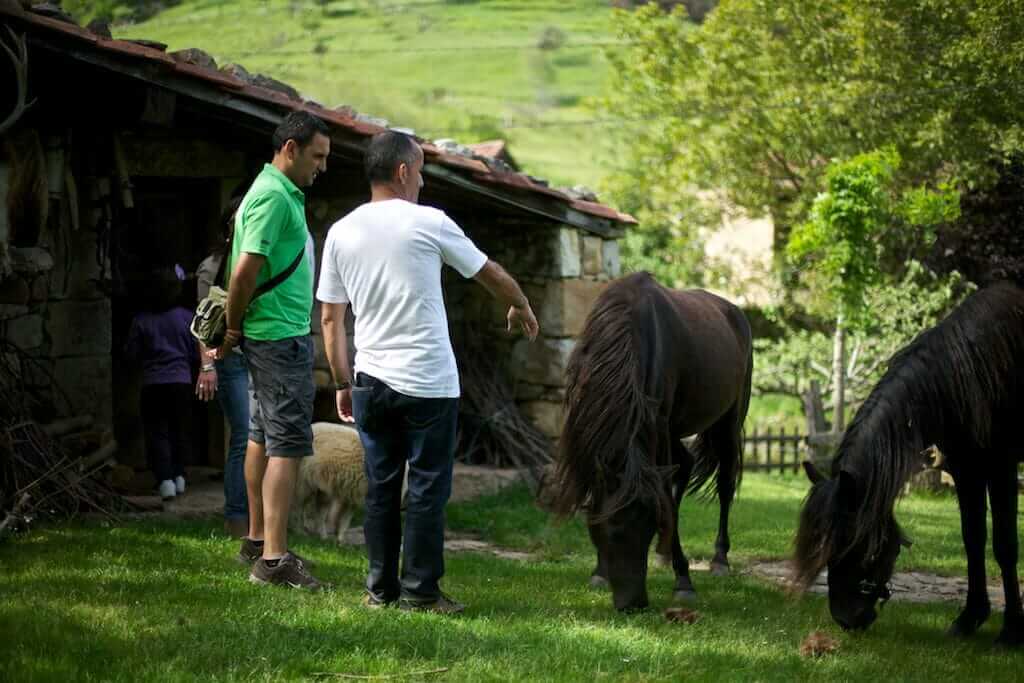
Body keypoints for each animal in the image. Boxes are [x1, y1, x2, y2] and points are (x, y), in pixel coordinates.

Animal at [552, 272, 753, 614]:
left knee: (724, 485)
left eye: (647, 529)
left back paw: (719, 560)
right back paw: (666, 555)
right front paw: (600, 572)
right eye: (609, 530)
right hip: (674, 432)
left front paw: (683, 581)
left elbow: (667, 500)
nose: (634, 603)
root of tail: (735, 313)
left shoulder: (657, 427)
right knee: (684, 466)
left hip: (726, 423)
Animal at [794, 278, 1024, 647]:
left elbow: (1004, 546)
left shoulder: (1000, 468)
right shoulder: (967, 471)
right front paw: (969, 618)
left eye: (853, 544)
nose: (845, 619)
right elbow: (973, 540)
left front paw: (1012, 630)